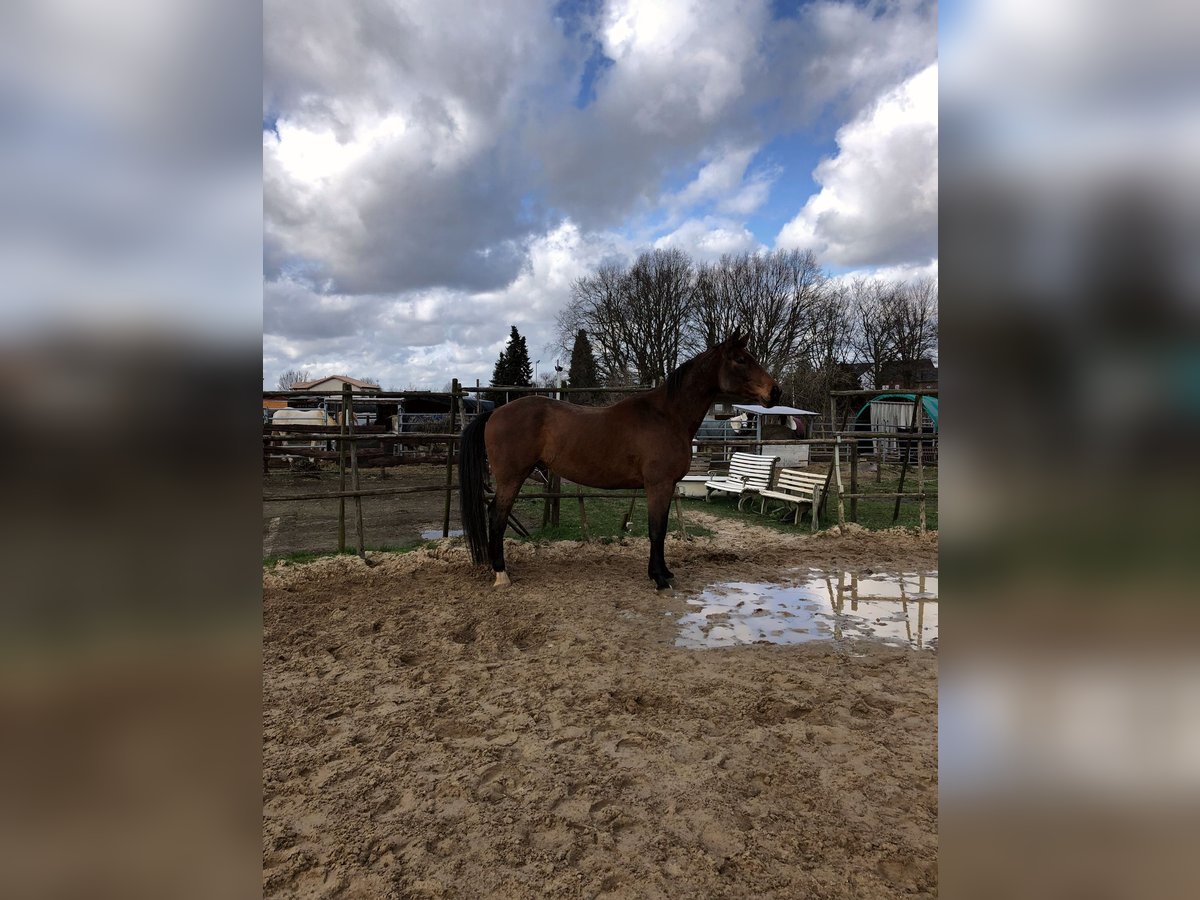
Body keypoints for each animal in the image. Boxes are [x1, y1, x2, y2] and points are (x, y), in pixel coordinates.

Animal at [456, 333, 777, 592]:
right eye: (740, 360)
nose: (776, 392)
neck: (667, 415)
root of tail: (495, 413)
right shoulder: (658, 485)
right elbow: (656, 530)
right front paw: (660, 579)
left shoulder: (664, 487)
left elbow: (659, 529)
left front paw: (662, 572)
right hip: (512, 477)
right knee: (497, 517)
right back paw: (501, 574)